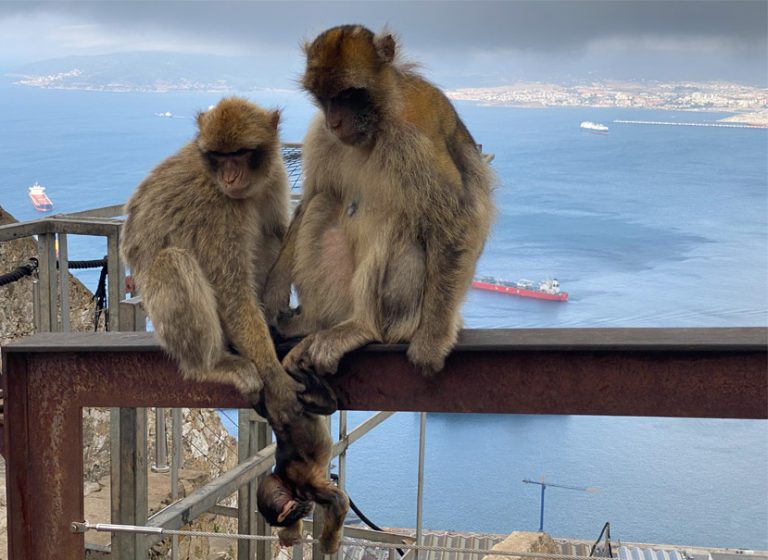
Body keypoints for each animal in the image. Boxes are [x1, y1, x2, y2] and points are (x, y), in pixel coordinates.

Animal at [121, 96, 301, 426]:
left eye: (240, 153)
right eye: (219, 156)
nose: (229, 177)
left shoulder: (274, 177)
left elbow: (278, 230)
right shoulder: (218, 207)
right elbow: (232, 292)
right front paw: (275, 378)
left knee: (265, 236)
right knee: (172, 261)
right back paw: (210, 366)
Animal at [255, 385, 349, 554]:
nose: (303, 510)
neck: (284, 479)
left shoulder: (305, 485)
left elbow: (338, 501)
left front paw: (328, 543)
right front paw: (291, 533)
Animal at [264, 25, 495, 378]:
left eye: (348, 96)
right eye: (326, 99)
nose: (334, 121)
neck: (378, 124)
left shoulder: (418, 133)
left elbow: (459, 217)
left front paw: (434, 338)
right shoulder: (321, 135)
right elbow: (311, 197)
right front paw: (273, 293)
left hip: (405, 315)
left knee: (399, 225)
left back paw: (364, 328)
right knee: (323, 204)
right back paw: (312, 323)